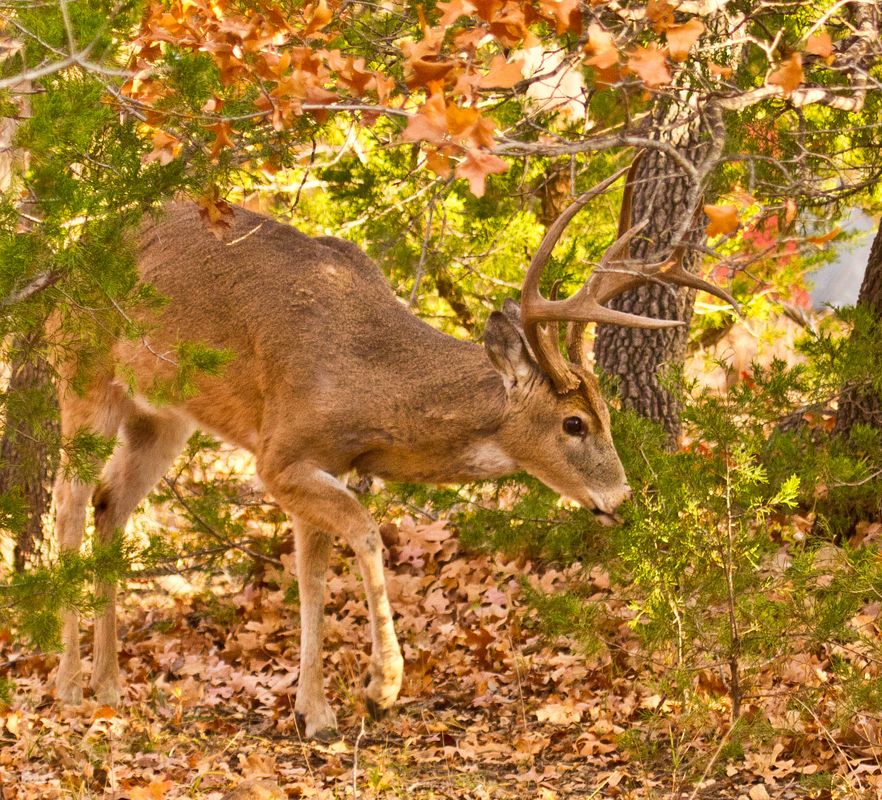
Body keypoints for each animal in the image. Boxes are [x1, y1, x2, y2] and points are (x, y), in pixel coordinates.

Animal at [51, 162, 732, 736]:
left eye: (608, 414)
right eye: (573, 423)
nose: (621, 497)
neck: (366, 380)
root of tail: (62, 262)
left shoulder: (318, 464)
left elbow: (312, 580)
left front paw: (315, 712)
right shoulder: (279, 454)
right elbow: (367, 532)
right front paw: (380, 688)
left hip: (162, 416)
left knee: (112, 504)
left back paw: (110, 684)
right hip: (84, 377)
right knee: (69, 505)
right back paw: (67, 686)